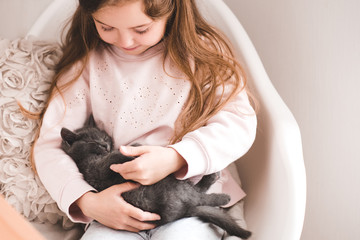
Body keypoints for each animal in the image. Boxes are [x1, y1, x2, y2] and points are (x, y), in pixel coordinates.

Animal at [60, 115, 252, 238]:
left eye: (104, 137)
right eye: (92, 141)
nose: (105, 145)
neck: (88, 158)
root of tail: (186, 210)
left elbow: (116, 154)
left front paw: (129, 148)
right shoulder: (96, 170)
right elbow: (112, 158)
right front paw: (131, 148)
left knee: (197, 191)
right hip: (171, 192)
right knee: (199, 195)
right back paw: (223, 196)